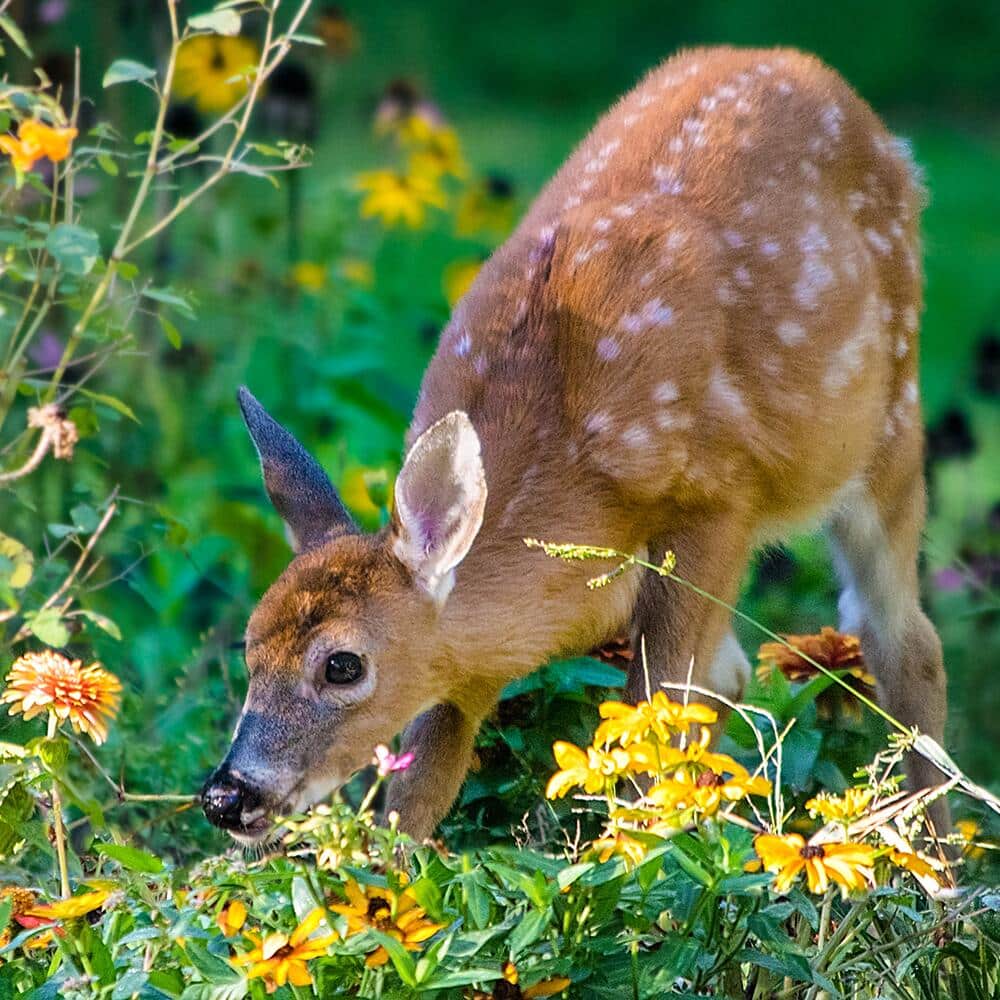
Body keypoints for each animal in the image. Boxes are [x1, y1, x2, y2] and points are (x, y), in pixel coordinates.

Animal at [202, 45, 950, 846]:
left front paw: (637, 856)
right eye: (249, 646)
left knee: (902, 640)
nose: (227, 795)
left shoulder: (719, 499)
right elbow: (425, 781)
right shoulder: (470, 660)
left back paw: (938, 857)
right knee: (740, 674)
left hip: (891, 424)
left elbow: (654, 711)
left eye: (343, 665)